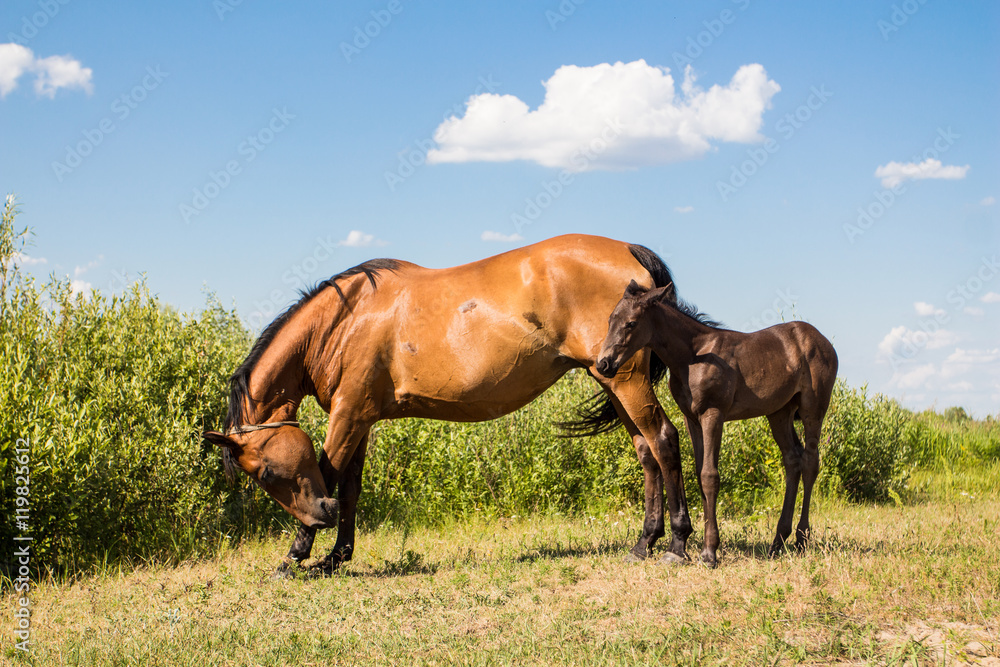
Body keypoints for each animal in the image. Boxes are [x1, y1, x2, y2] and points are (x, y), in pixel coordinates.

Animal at [203, 234, 698, 575]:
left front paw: (296, 557)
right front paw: (336, 557)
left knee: (663, 440)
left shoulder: (348, 415)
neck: (345, 320)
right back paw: (644, 543)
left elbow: (328, 473)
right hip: (610, 377)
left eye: (265, 473)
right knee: (645, 452)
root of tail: (631, 253)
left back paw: (677, 543)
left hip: (628, 381)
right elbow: (349, 489)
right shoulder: (361, 418)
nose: (319, 515)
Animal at [595, 280, 838, 567]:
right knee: (793, 461)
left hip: (813, 409)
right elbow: (700, 474)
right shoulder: (692, 418)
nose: (603, 363)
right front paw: (687, 549)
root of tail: (824, 341)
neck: (693, 356)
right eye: (610, 320)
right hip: (779, 412)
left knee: (810, 462)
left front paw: (709, 552)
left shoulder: (713, 414)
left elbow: (709, 475)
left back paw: (801, 540)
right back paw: (778, 542)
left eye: (631, 323)